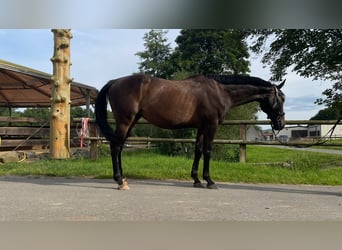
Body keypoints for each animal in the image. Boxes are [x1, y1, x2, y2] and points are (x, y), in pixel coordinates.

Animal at [95, 73, 284, 189]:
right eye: (281, 98)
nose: (281, 123)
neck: (220, 91)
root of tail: (115, 81)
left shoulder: (201, 127)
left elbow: (198, 150)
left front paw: (196, 179)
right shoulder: (212, 125)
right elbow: (207, 151)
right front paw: (210, 181)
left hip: (132, 121)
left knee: (119, 146)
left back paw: (123, 178)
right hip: (125, 121)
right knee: (116, 146)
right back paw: (119, 180)